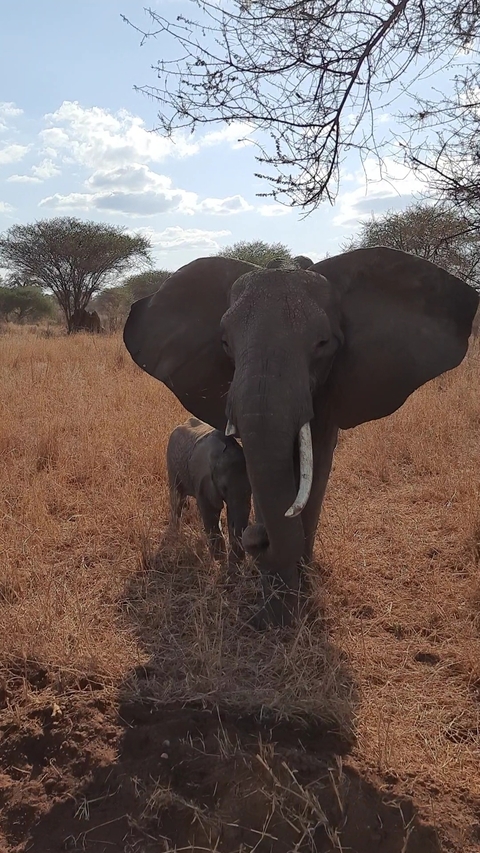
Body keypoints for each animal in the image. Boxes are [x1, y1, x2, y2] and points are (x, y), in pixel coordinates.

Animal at [167, 417, 252, 566]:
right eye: (224, 487)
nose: (239, 562)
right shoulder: (204, 478)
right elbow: (211, 512)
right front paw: (219, 561)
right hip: (171, 463)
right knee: (177, 499)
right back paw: (174, 533)